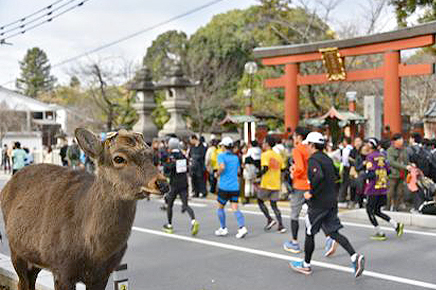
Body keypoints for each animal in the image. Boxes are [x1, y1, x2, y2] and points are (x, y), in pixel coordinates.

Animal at [0, 129, 168, 290]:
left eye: (152, 155)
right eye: (118, 158)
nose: (162, 183)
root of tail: (7, 185)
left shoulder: (103, 274)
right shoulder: (61, 269)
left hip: (34, 257)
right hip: (16, 250)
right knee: (22, 283)